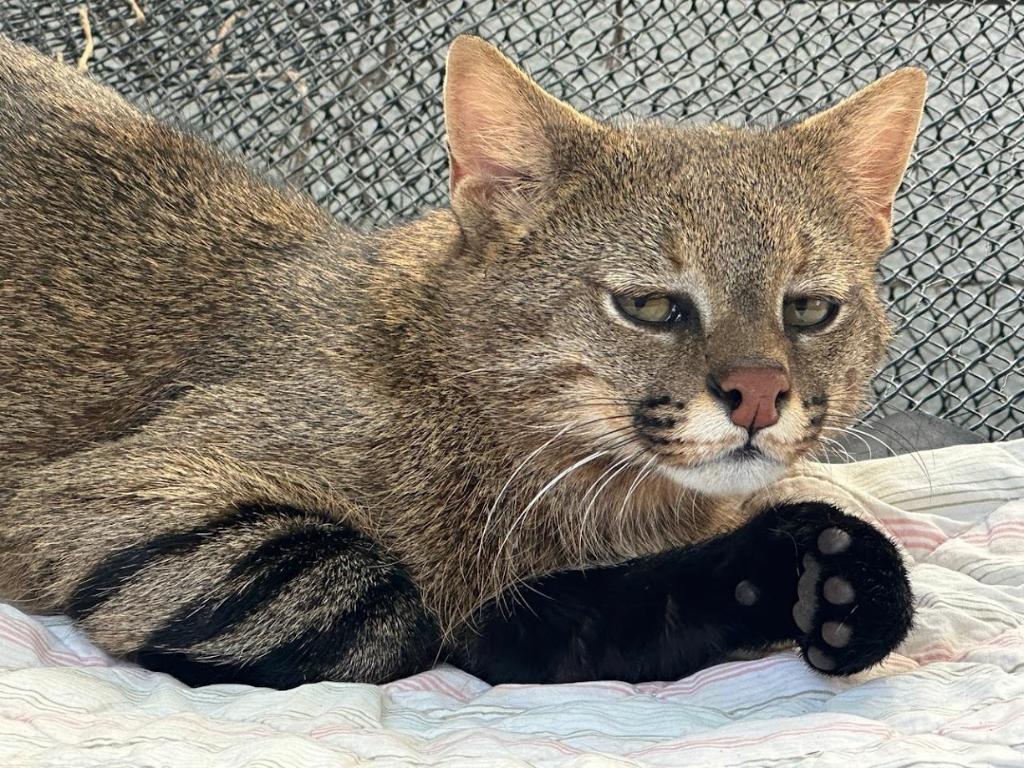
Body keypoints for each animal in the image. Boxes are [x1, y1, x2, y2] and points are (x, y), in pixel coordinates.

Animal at [0, 33, 925, 688]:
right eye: (651, 306)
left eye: (809, 310)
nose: (760, 394)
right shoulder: (105, 503)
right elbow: (405, 612)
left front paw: (826, 582)